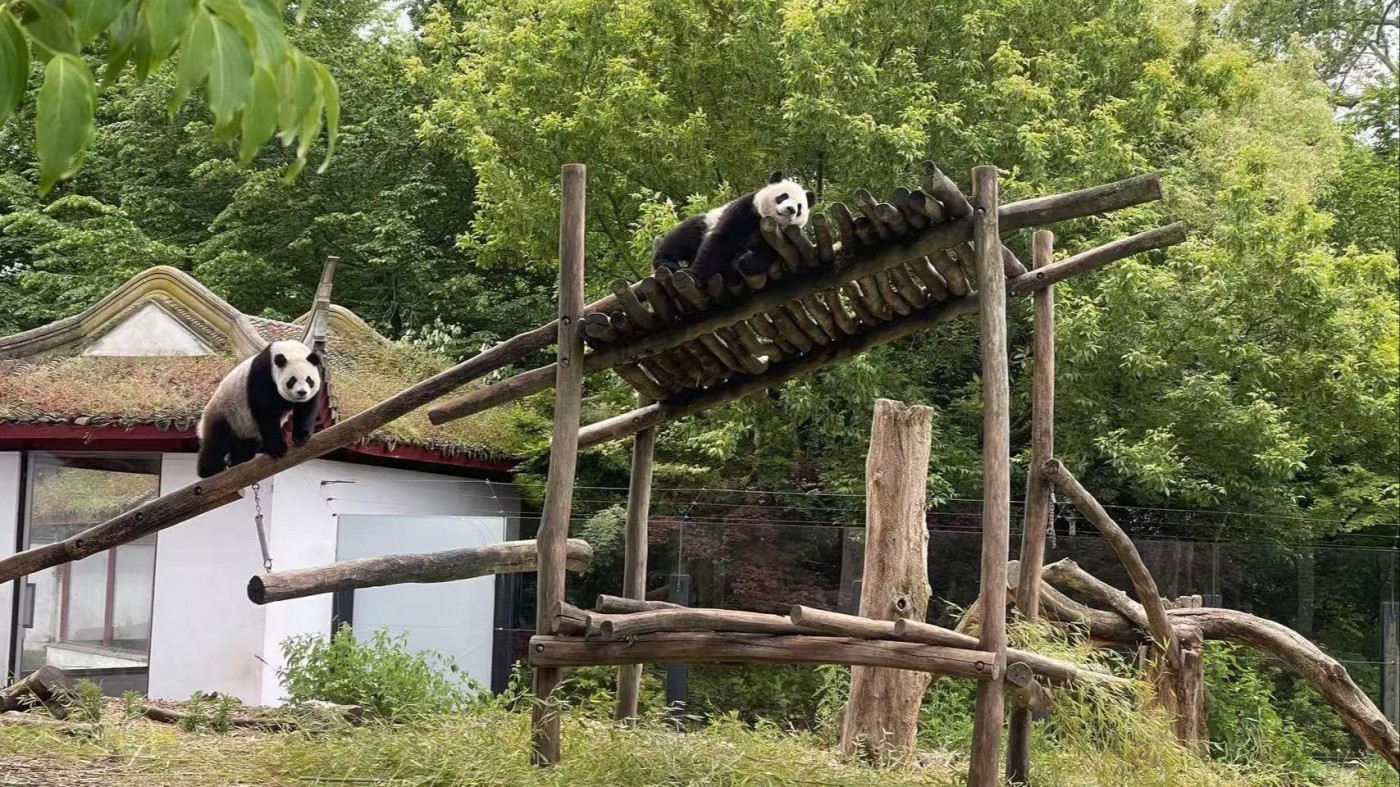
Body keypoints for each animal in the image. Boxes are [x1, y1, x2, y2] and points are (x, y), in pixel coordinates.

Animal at [196, 338, 323, 478]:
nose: (302, 392)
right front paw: (277, 448)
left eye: (309, 380)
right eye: (292, 380)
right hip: (225, 412)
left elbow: (306, 409)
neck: (289, 350)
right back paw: (210, 470)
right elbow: (265, 411)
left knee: (246, 446)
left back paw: (236, 461)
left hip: (246, 429)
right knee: (216, 442)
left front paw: (301, 437)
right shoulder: (263, 374)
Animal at [652, 171, 817, 281]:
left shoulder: (779, 237)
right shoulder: (745, 209)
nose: (791, 209)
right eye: (783, 196)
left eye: (799, 207)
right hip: (705, 222)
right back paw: (667, 262)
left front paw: (744, 260)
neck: (763, 218)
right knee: (685, 235)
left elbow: (765, 253)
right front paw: (696, 274)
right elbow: (721, 240)